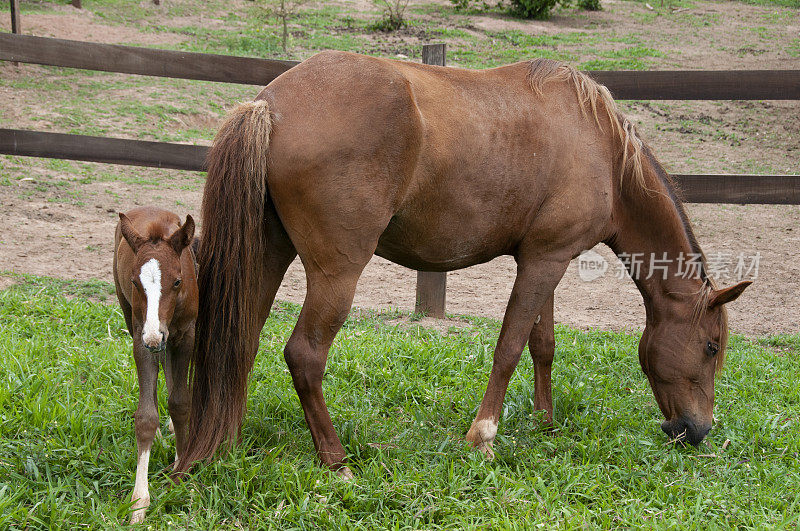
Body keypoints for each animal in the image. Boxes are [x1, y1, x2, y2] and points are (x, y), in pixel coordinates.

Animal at [113, 208, 198, 524]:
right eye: (136, 283)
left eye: (177, 282)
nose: (154, 336)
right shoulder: (141, 335)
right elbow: (146, 416)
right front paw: (139, 502)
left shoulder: (185, 334)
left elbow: (181, 402)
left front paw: (182, 469)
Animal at [177, 53, 752, 478]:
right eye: (711, 346)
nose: (698, 431)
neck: (602, 150)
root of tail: (269, 103)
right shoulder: (543, 261)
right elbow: (509, 348)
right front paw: (484, 436)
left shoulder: (547, 259)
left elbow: (542, 345)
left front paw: (544, 424)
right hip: (336, 274)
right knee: (304, 355)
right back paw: (336, 460)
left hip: (268, 254)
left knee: (240, 341)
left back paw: (225, 444)